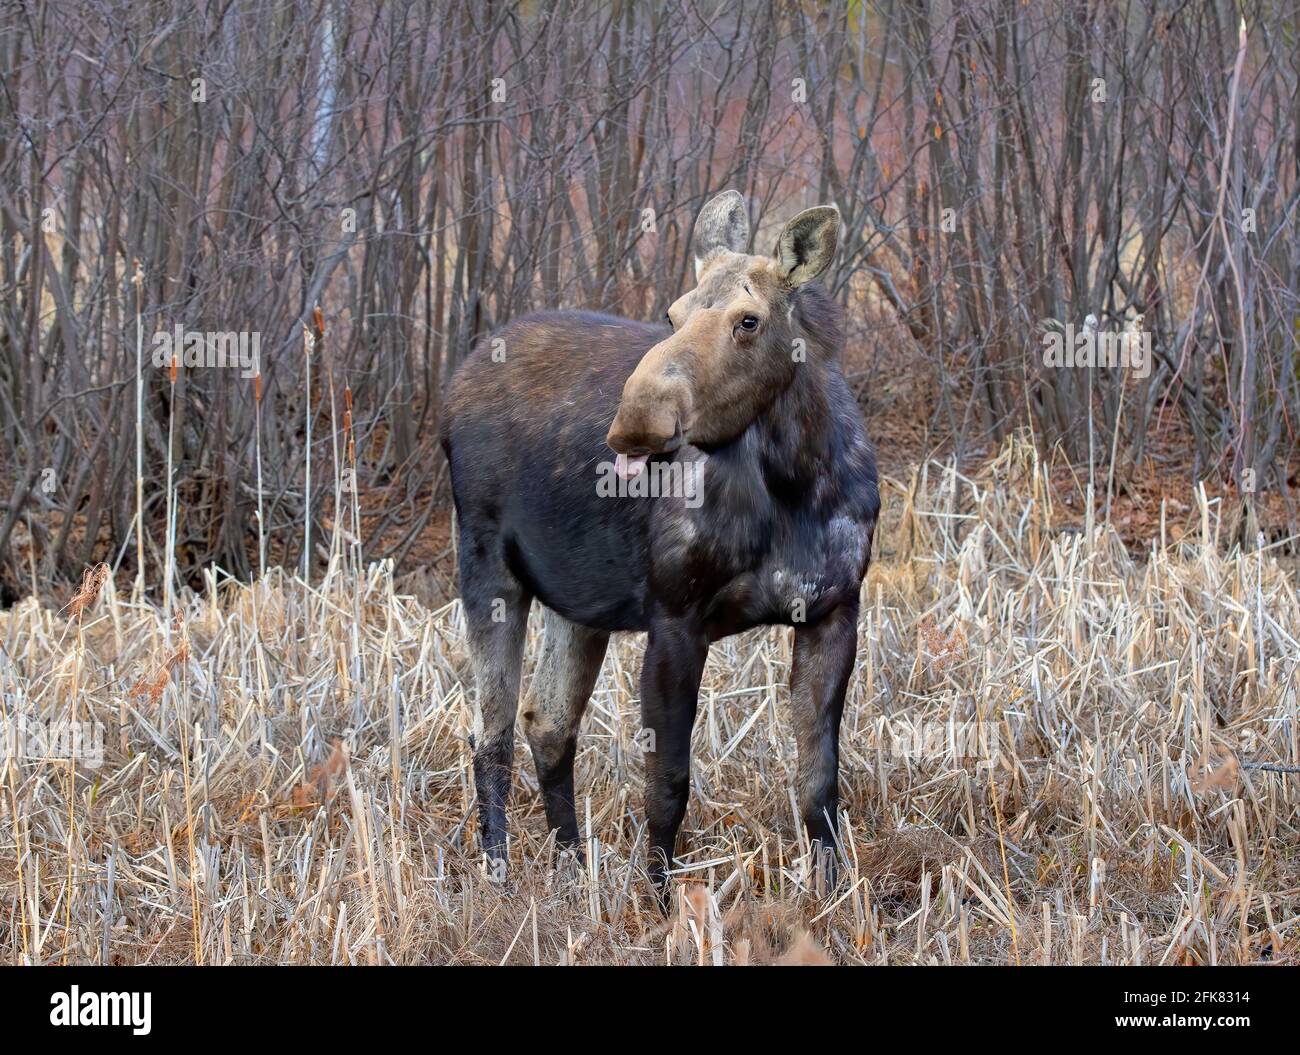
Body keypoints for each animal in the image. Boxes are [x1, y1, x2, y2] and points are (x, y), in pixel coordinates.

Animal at [441, 193, 878, 904]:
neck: (796, 481)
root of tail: (456, 383)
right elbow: (668, 785)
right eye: (671, 313)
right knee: (493, 733)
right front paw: (659, 901)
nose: (636, 421)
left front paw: (834, 894)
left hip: (578, 603)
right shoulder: (674, 619)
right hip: (486, 568)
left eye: (749, 321)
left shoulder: (834, 611)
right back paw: (500, 876)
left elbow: (818, 782)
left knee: (547, 721)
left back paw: (572, 867)